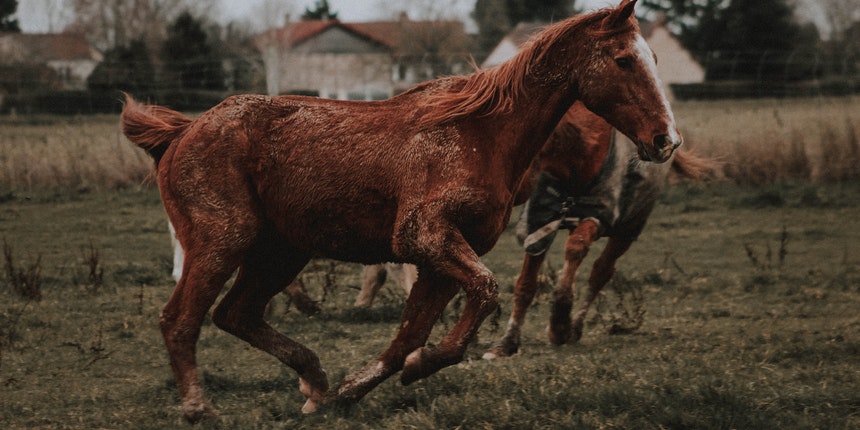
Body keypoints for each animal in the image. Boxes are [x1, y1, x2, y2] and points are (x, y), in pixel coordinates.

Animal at [122, 0, 680, 422]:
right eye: (625, 60)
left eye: (655, 56)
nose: (666, 140)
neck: (479, 134)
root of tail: (184, 130)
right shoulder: (426, 238)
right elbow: (485, 293)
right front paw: (411, 368)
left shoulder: (443, 258)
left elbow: (411, 335)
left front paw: (359, 388)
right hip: (223, 241)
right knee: (180, 320)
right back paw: (200, 410)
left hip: (280, 253)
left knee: (236, 314)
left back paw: (316, 386)